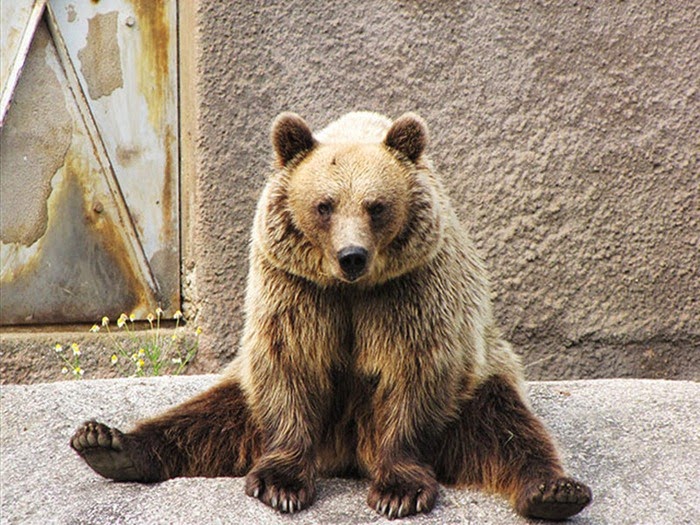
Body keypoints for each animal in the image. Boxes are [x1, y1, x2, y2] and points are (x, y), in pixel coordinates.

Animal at [70, 111, 592, 520]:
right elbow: (289, 365)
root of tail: (347, 448)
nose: (352, 256)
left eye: (376, 206)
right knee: (204, 419)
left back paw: (554, 490)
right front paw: (281, 484)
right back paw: (108, 443)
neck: (351, 291)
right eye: (325, 205)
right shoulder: (298, 290)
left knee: (509, 431)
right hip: (243, 392)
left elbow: (413, 373)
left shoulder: (409, 290)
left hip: (481, 381)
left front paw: (399, 491)